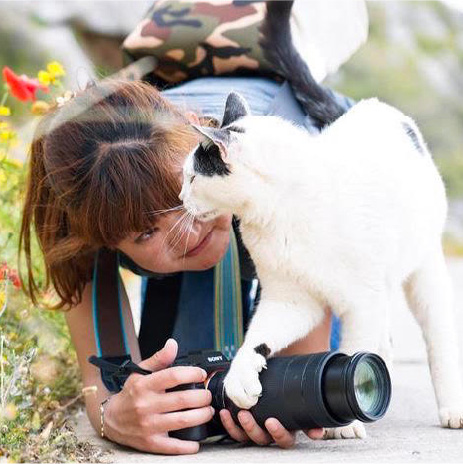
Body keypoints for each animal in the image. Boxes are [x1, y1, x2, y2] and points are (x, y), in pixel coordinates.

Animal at [179, 1, 463, 436]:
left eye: (193, 177)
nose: (179, 197)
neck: (279, 213)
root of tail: (369, 105)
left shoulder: (362, 301)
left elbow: (354, 351)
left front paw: (350, 409)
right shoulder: (290, 298)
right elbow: (258, 337)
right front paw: (239, 379)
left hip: (424, 269)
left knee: (437, 336)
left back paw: (450, 406)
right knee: (386, 337)